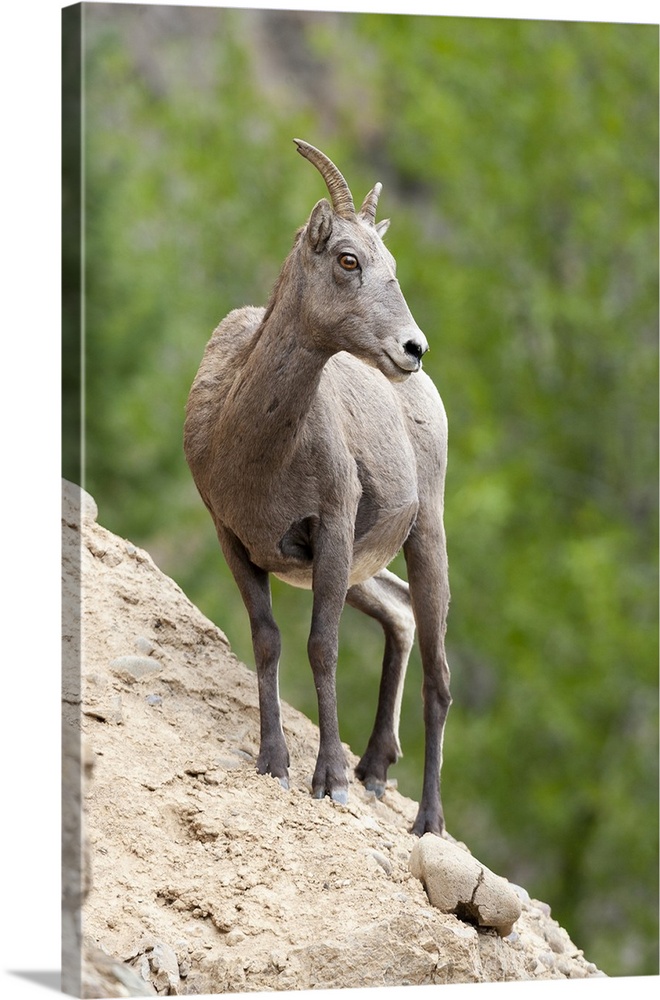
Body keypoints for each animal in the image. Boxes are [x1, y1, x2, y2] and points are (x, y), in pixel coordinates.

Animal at [186, 141, 454, 836]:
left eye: (391, 265)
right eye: (348, 259)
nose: (413, 347)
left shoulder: (330, 528)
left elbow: (321, 648)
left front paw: (329, 783)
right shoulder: (236, 540)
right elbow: (269, 640)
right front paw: (273, 763)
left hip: (424, 538)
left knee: (439, 677)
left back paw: (426, 821)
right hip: (364, 567)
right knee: (400, 614)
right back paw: (375, 770)